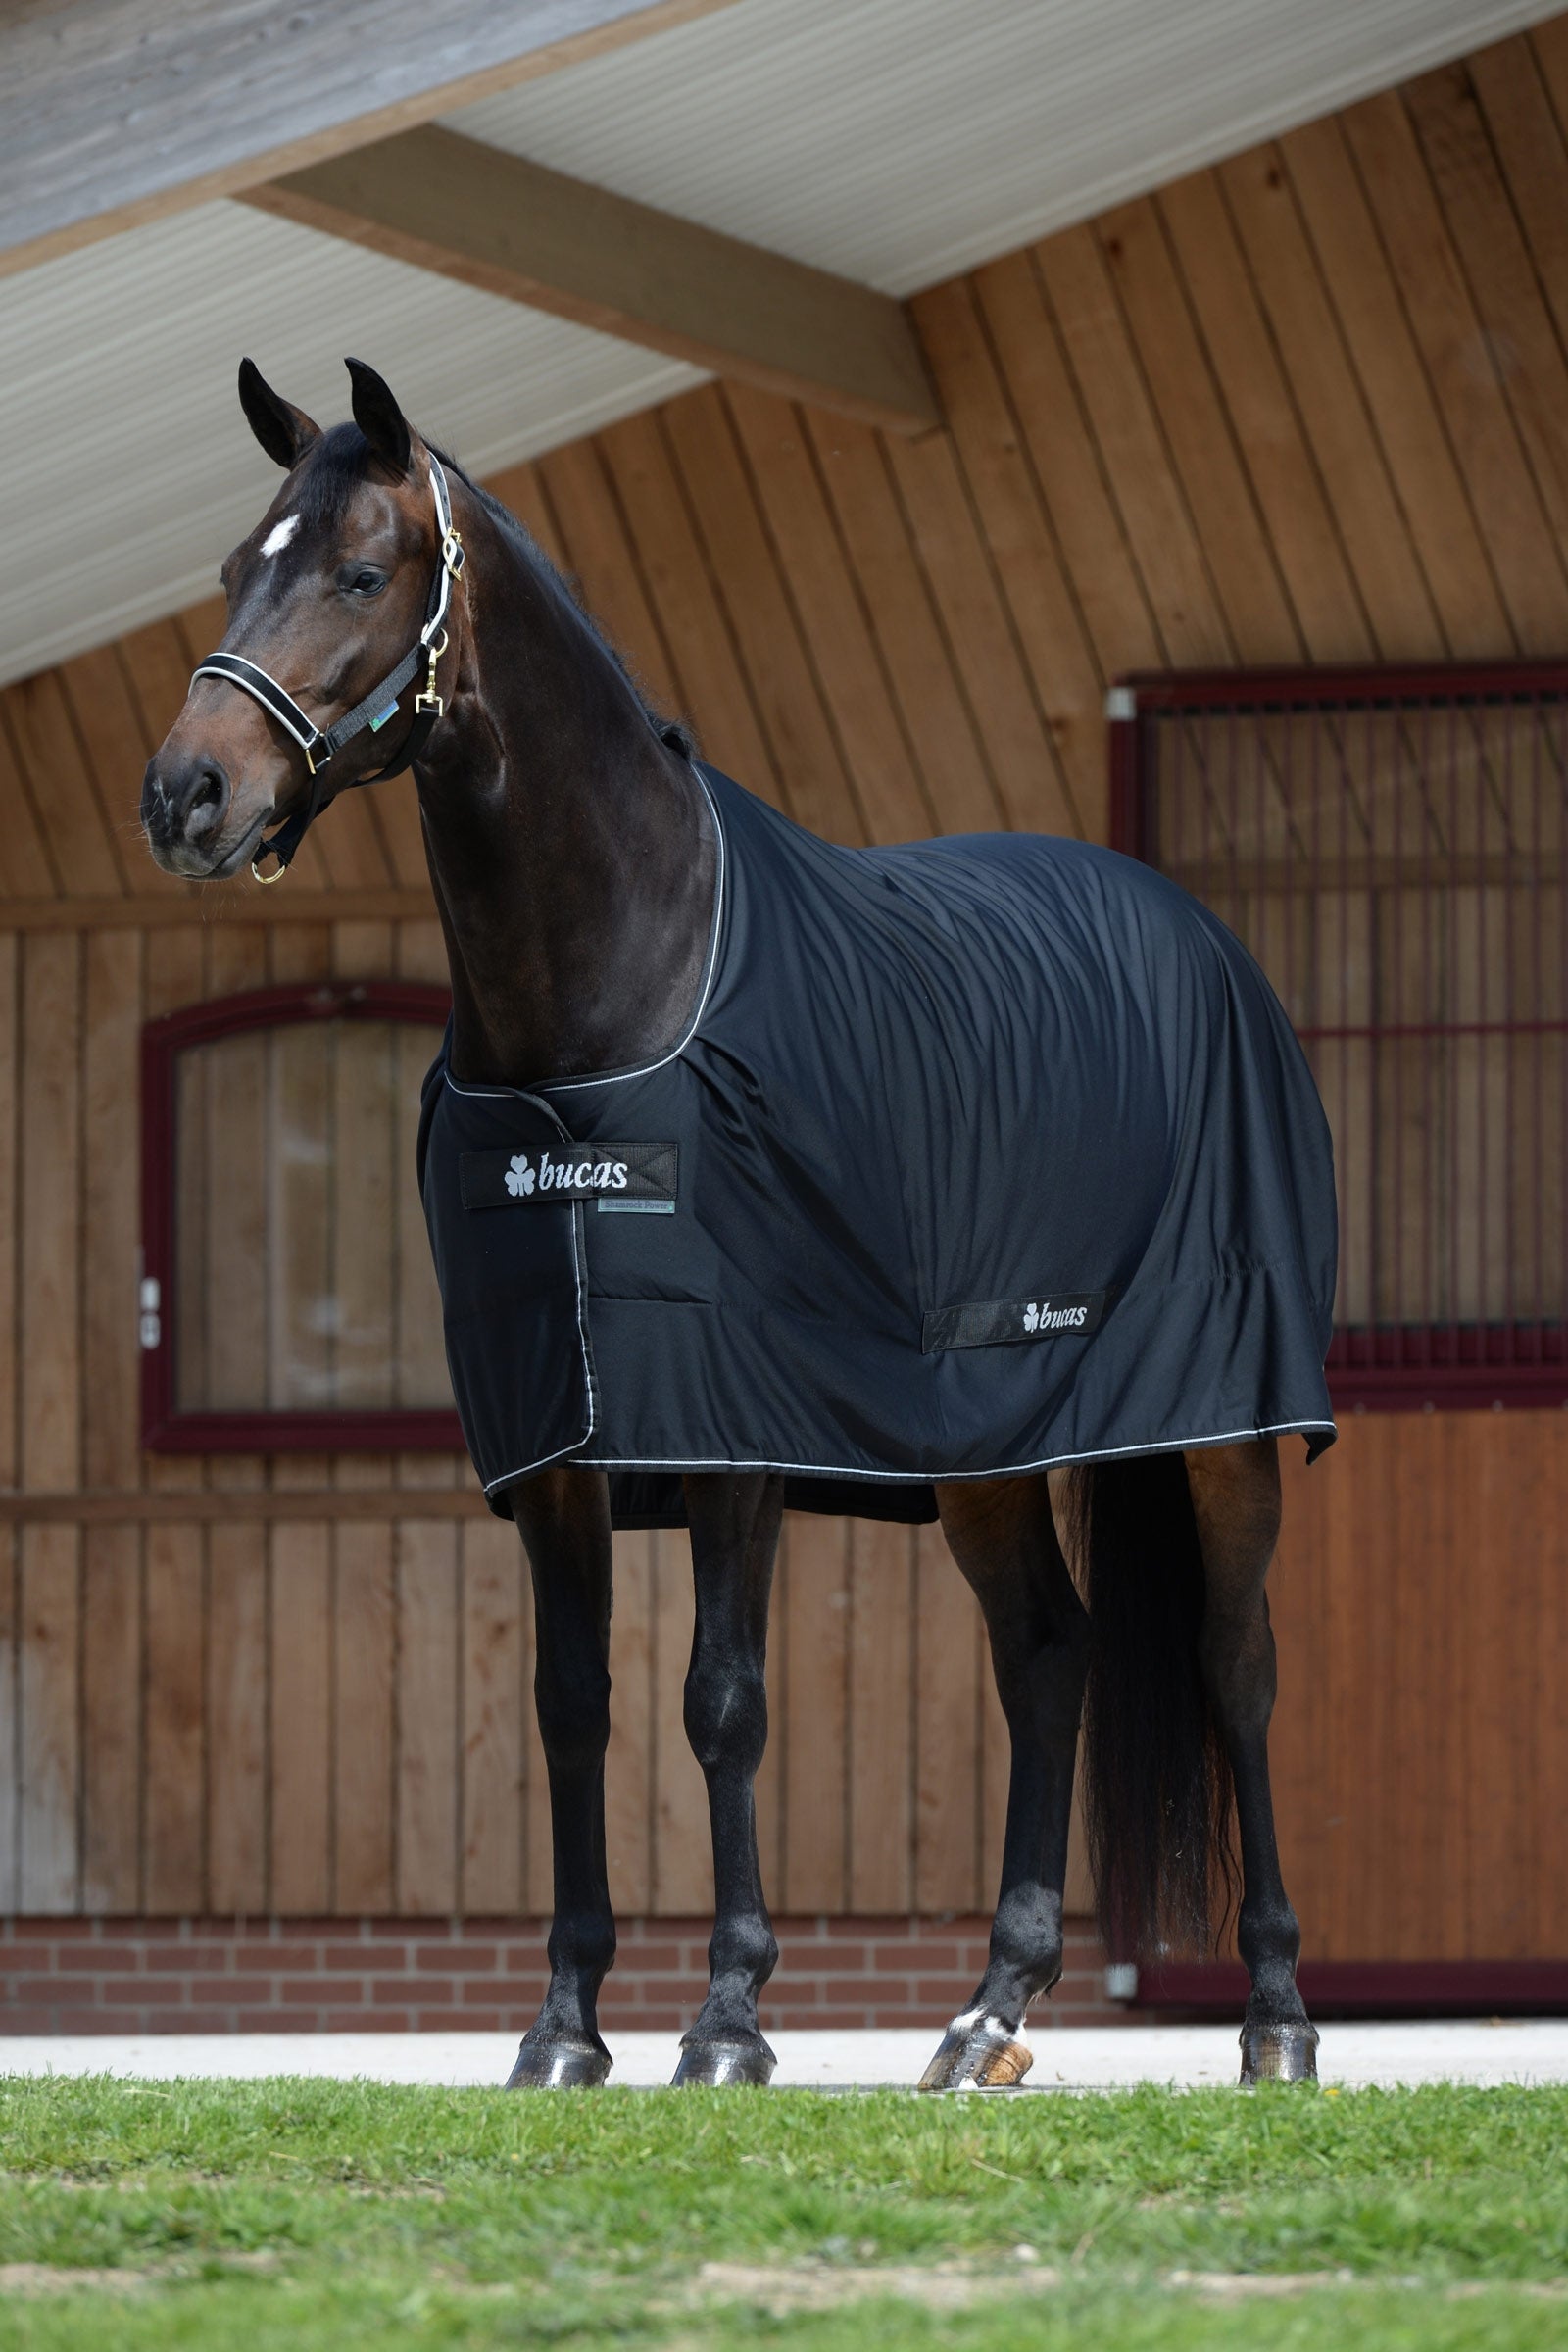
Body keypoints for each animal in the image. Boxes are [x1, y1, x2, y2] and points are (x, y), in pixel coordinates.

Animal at [140, 357, 1332, 2092]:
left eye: (360, 574)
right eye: (241, 566)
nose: (186, 796)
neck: (612, 1000)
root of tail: (1195, 939)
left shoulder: (732, 1428)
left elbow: (723, 1701)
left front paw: (727, 2021)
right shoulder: (558, 1437)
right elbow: (574, 1706)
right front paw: (564, 2029)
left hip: (1224, 1423)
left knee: (1238, 1670)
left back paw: (1277, 2020)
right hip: (983, 1442)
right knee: (1050, 1655)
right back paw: (986, 2016)